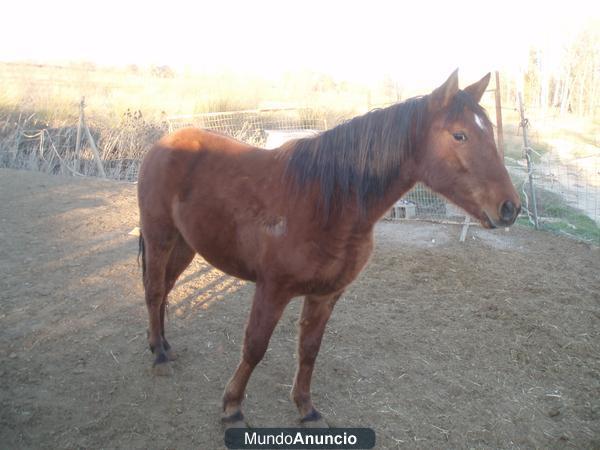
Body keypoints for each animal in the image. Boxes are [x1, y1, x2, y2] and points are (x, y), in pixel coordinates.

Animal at [136, 69, 520, 426]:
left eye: (487, 131)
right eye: (459, 135)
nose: (510, 208)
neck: (327, 202)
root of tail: (165, 142)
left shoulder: (326, 294)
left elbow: (309, 350)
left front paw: (306, 410)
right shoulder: (272, 289)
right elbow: (255, 346)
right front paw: (232, 408)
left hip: (185, 244)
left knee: (166, 288)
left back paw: (164, 345)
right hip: (160, 237)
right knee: (154, 290)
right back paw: (158, 356)